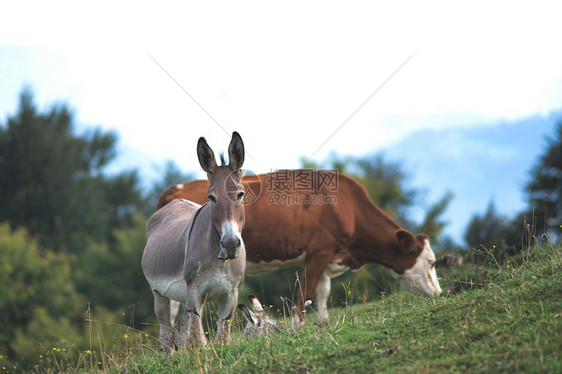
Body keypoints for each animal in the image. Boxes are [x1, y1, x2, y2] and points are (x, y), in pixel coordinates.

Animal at [155, 170, 440, 328]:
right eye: (431, 262)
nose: (440, 293)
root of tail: (174, 190)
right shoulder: (318, 252)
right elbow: (306, 291)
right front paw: (297, 326)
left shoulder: (325, 256)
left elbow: (322, 291)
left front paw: (323, 323)